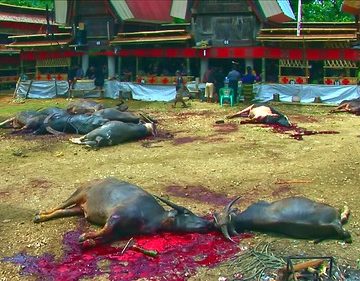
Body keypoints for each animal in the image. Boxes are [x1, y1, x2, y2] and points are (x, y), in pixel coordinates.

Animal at [33, 177, 214, 245]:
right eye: (187, 213)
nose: (209, 223)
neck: (154, 217)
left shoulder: (120, 231)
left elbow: (106, 236)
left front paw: (90, 241)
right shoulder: (115, 216)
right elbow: (105, 230)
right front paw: (84, 236)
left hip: (78, 208)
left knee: (61, 212)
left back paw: (41, 217)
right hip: (78, 194)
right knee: (59, 206)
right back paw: (39, 215)